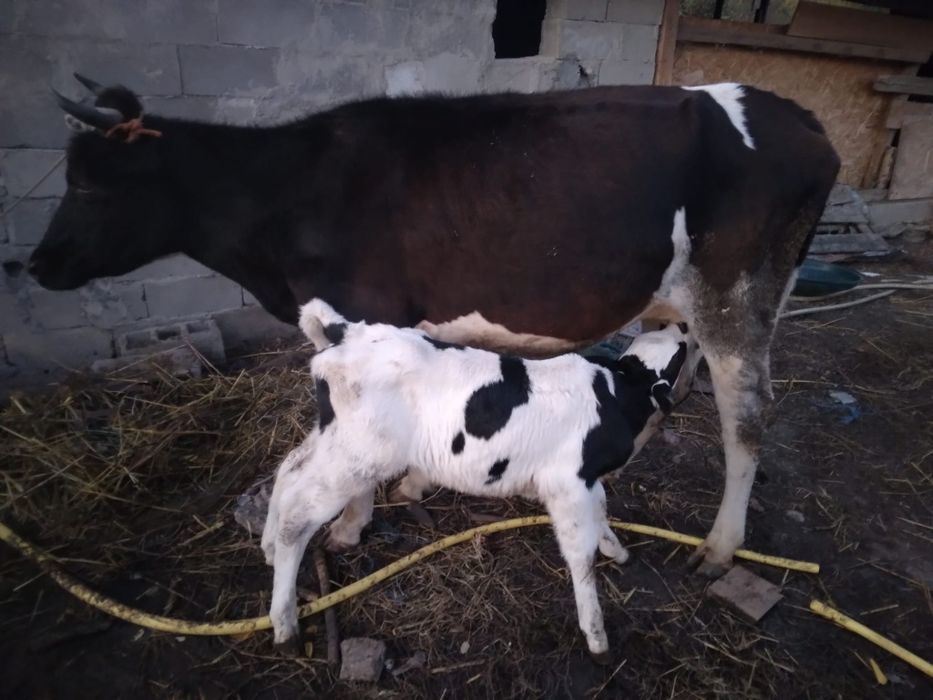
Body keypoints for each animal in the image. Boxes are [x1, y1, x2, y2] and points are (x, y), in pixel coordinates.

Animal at [27, 73, 840, 576]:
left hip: (737, 295)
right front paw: (415, 481)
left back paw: (720, 545)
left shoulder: (359, 321)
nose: (35, 264)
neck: (287, 197)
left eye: (88, 185)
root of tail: (801, 118)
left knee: (747, 420)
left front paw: (351, 524)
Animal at [262, 299, 699, 658]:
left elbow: (602, 513)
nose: (684, 326)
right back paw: (284, 623)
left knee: (290, 468)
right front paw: (596, 634)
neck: (614, 395)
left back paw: (266, 547)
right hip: (358, 457)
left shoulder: (587, 481)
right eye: (678, 353)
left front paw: (617, 549)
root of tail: (347, 331)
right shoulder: (568, 485)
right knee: (297, 516)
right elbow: (581, 552)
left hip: (337, 441)